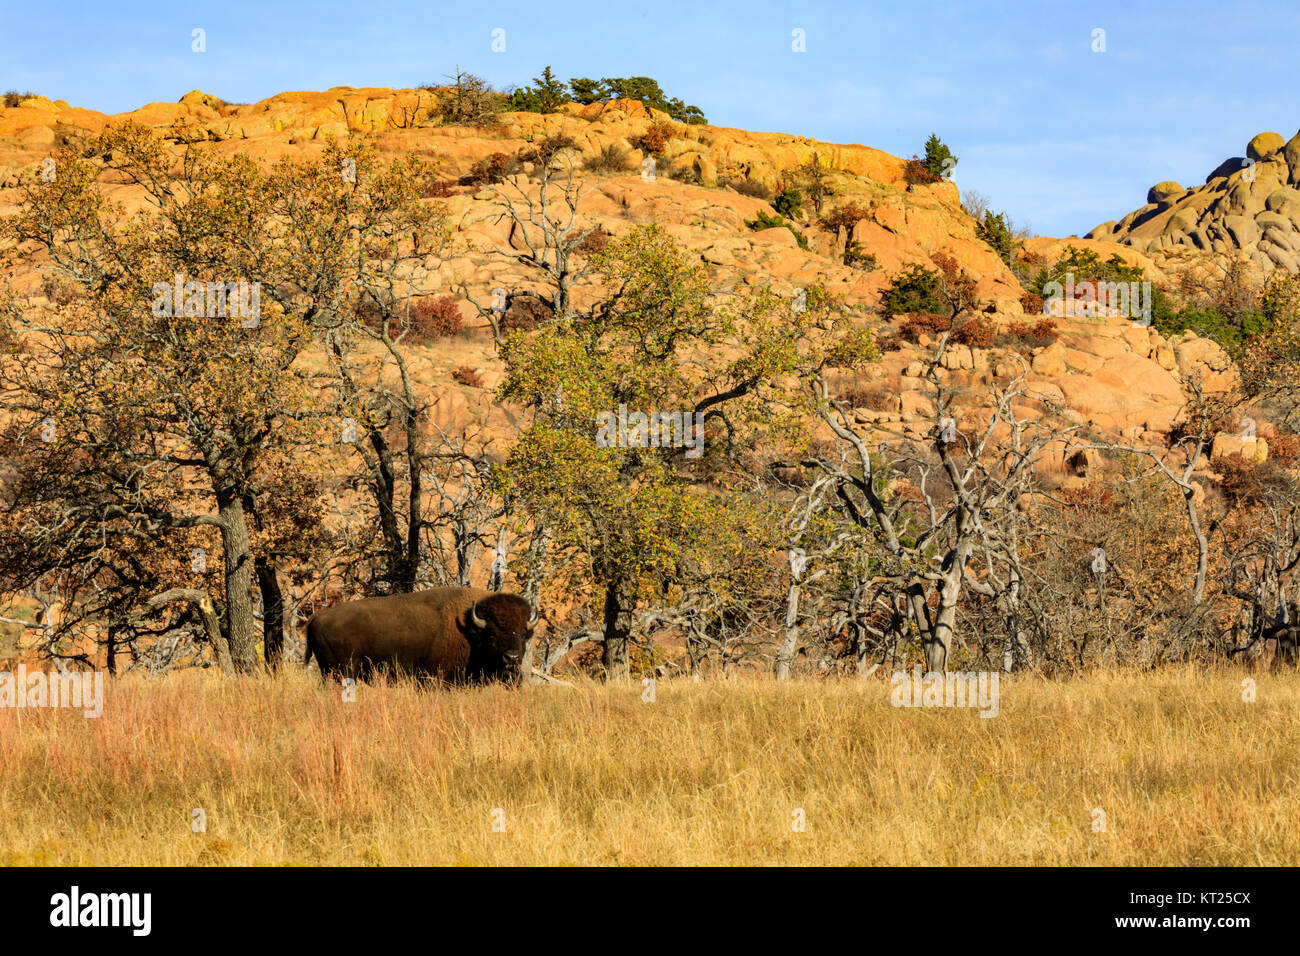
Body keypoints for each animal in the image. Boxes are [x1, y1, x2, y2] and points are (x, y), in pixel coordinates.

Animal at [301, 587, 535, 686]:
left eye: (524, 634)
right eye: (492, 634)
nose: (512, 658)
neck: (470, 630)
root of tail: (316, 617)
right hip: (341, 671)